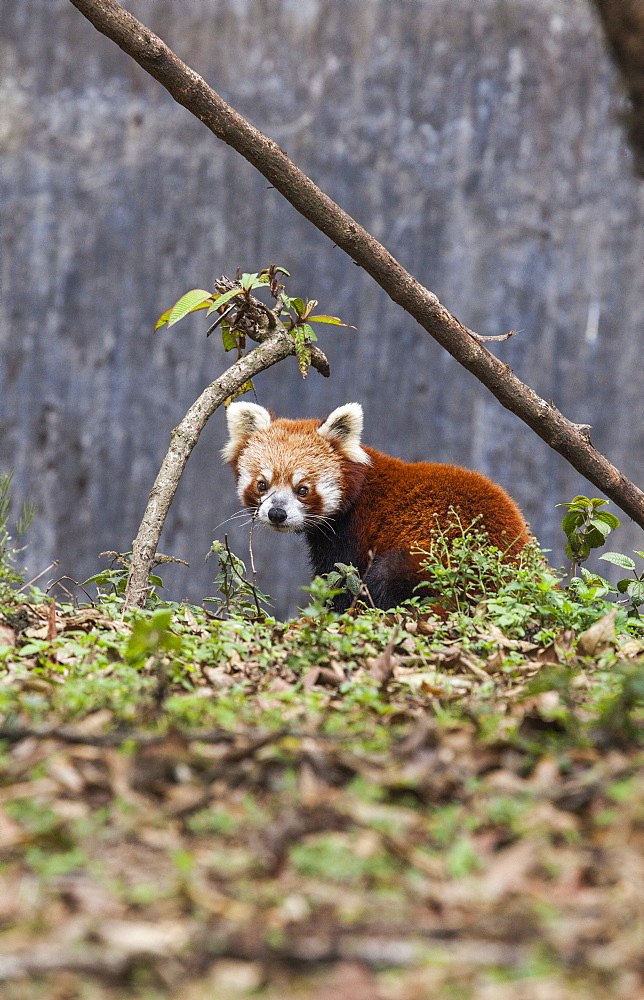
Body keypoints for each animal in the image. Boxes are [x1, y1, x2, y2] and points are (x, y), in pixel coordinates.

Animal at [221, 400, 528, 608]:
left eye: (303, 490)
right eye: (262, 484)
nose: (277, 513)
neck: (357, 491)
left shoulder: (352, 534)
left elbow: (342, 579)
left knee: (387, 577)